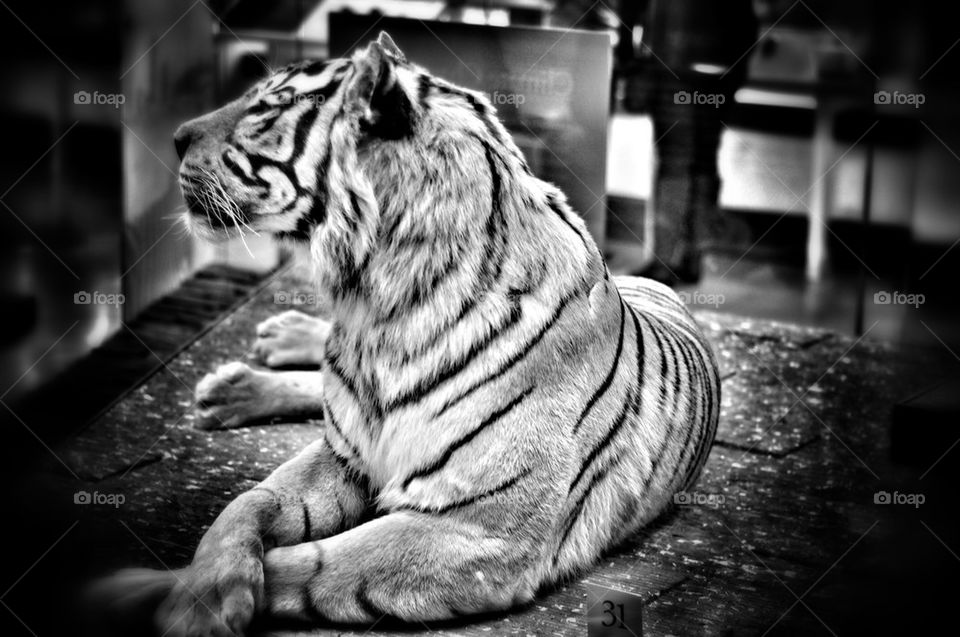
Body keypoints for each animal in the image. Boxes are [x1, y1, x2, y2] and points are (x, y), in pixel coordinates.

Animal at [100, 32, 720, 637]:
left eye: (267, 107)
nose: (175, 137)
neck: (375, 311)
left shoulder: (480, 531)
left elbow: (313, 564)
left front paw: (175, 599)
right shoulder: (341, 456)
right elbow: (246, 503)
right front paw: (190, 586)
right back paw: (252, 368)